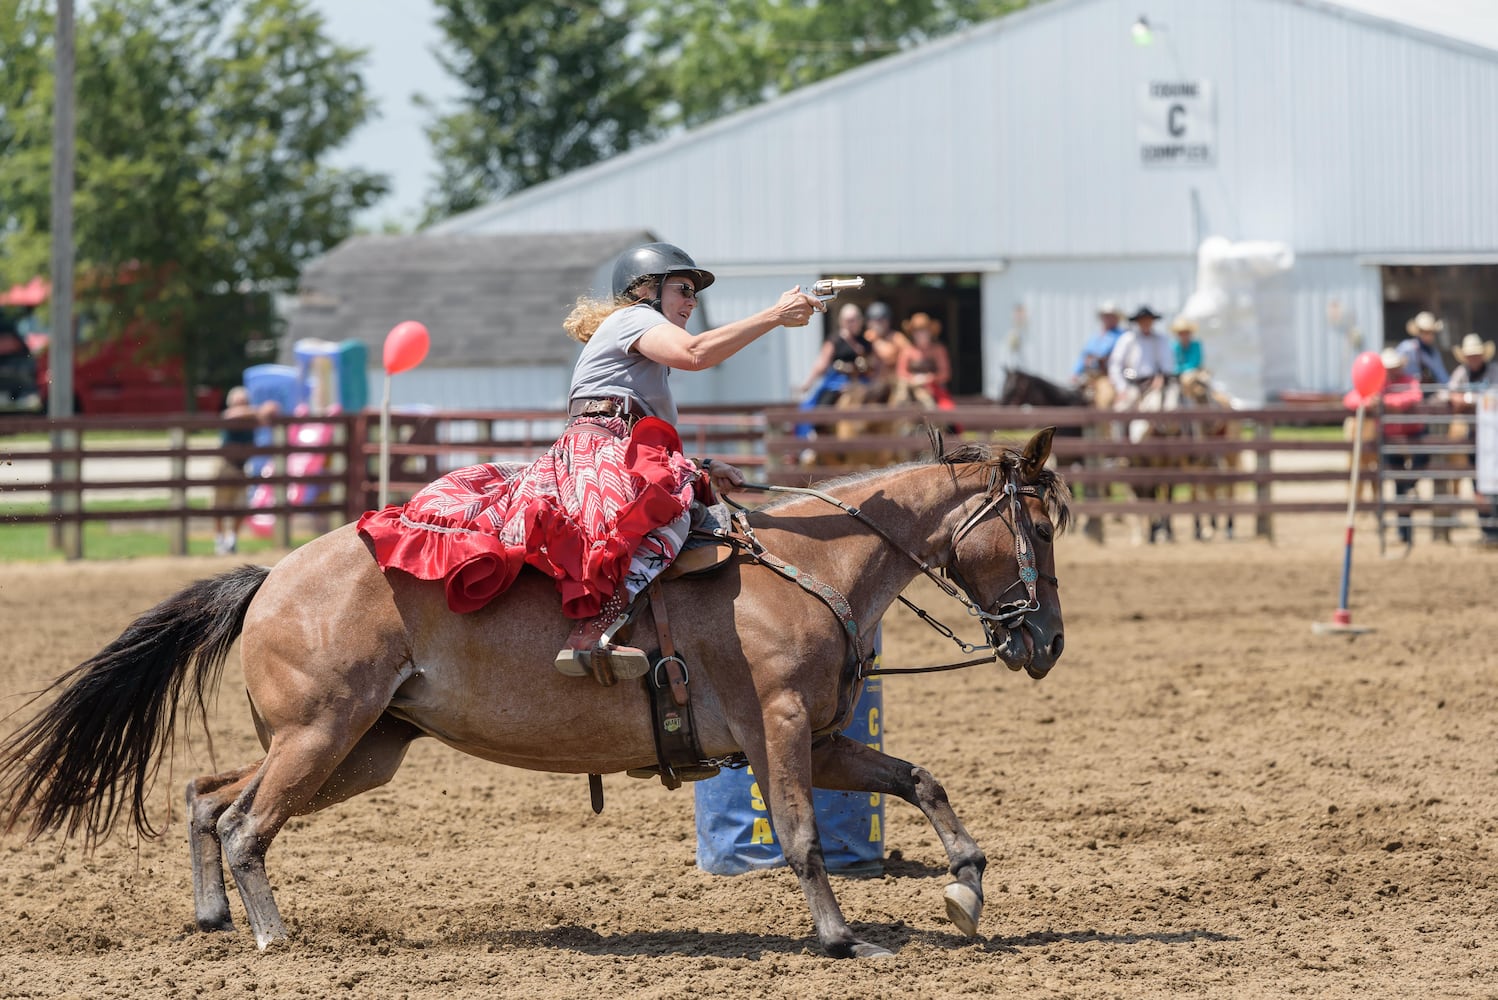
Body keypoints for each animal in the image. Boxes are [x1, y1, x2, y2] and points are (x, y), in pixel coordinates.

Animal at [0, 431, 1066, 958]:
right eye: (1041, 525)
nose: (1049, 641)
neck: (808, 565)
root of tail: (271, 579)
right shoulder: (783, 731)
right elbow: (803, 837)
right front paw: (844, 939)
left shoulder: (829, 737)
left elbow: (921, 782)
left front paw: (967, 889)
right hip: (321, 735)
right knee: (244, 824)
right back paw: (270, 936)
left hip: (356, 748)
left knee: (206, 795)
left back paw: (215, 919)